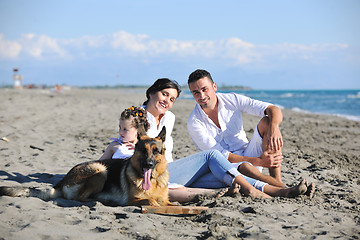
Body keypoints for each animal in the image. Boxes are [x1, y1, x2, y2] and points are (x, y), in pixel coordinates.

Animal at [0, 126, 173, 205]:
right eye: (143, 150)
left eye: (156, 151)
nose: (148, 164)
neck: (154, 181)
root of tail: (62, 181)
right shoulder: (132, 200)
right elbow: (151, 201)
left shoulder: (166, 201)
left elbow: (170, 203)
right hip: (100, 170)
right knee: (80, 198)